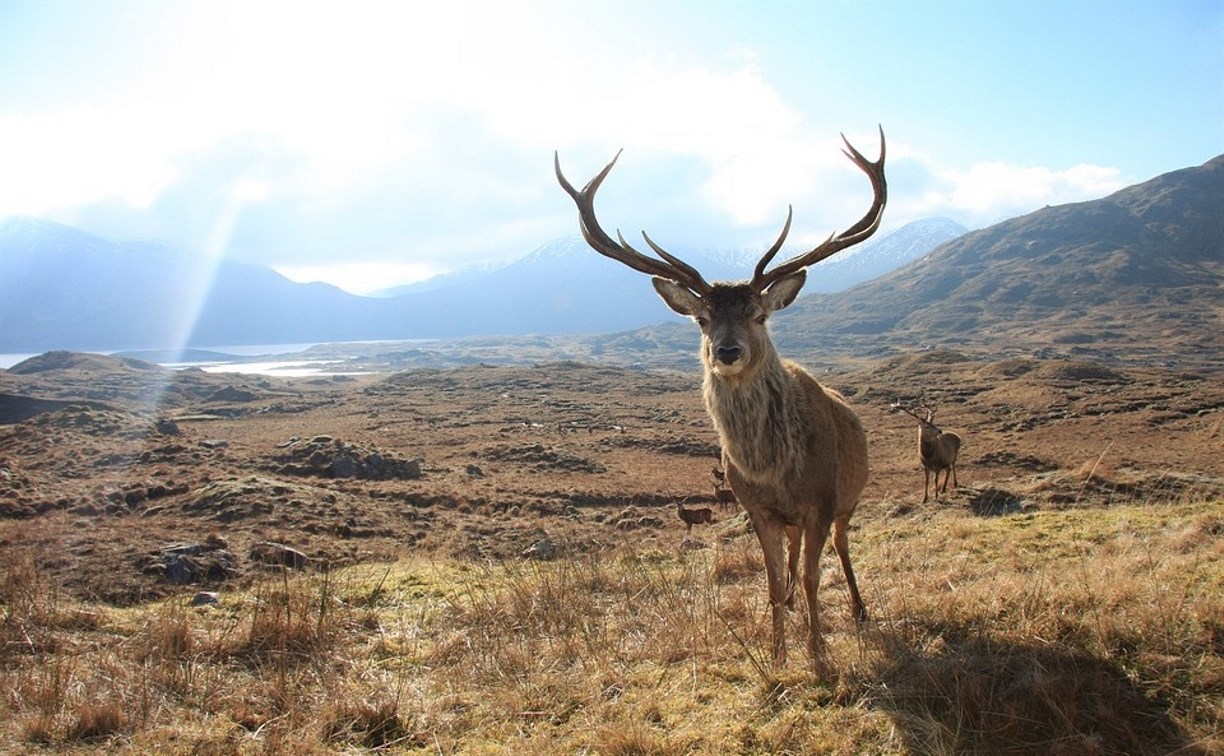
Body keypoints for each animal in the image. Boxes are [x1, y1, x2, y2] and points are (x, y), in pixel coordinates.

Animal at [558, 127, 891, 665]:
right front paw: (778, 654)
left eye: (759, 314)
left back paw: (860, 611)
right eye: (702, 318)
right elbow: (774, 582)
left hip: (849, 498)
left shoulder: (821, 501)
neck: (773, 470)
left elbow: (815, 577)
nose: (728, 351)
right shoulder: (756, 508)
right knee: (794, 559)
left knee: (841, 549)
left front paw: (819, 653)